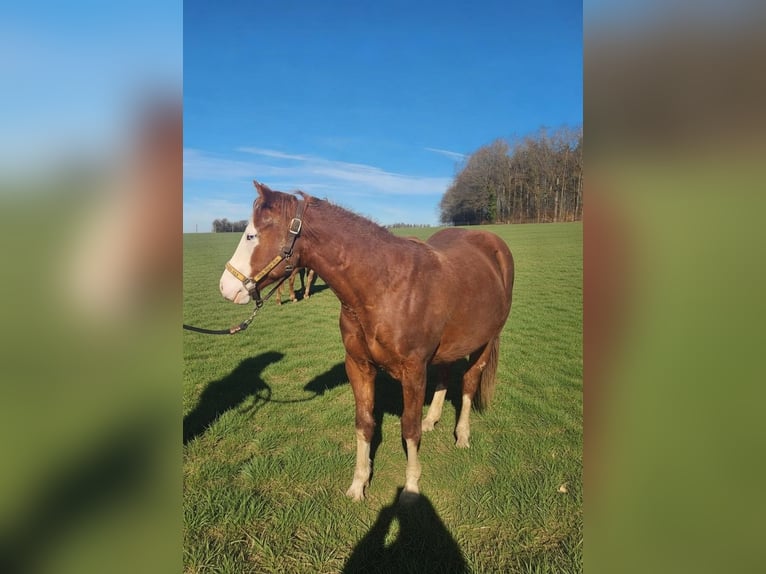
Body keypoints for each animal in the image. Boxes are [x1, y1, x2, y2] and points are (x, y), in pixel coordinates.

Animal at [219, 181, 514, 501]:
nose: (226, 287)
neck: (385, 287)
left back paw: (462, 435)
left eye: (251, 235)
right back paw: (433, 419)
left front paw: (411, 486)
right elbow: (364, 424)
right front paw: (358, 483)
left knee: (470, 383)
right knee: (445, 376)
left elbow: (409, 428)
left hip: (486, 341)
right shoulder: (359, 366)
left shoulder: (414, 372)